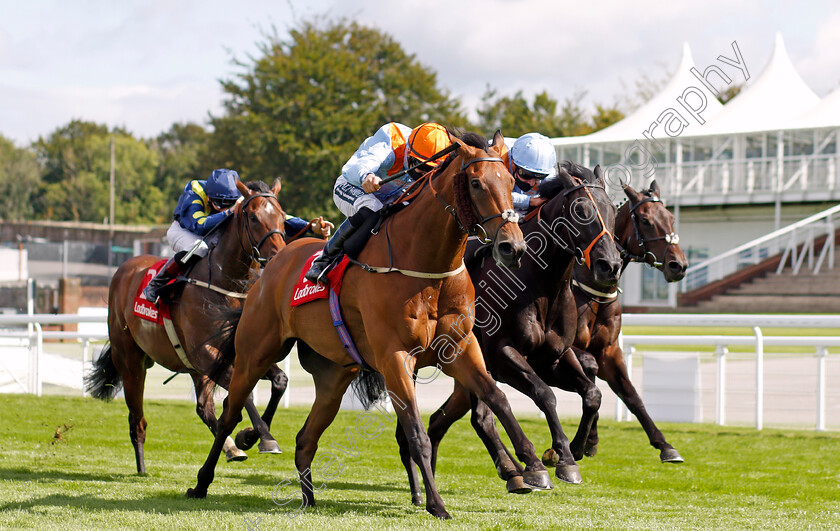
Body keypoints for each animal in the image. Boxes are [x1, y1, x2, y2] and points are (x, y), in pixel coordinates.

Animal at [86, 180, 292, 474]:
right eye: (253, 217)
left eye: (283, 217)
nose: (278, 256)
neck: (227, 286)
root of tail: (125, 268)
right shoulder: (205, 353)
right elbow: (244, 395)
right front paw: (263, 437)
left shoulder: (238, 354)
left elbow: (279, 381)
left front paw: (249, 435)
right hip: (131, 361)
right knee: (137, 418)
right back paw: (142, 467)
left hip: (193, 367)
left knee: (203, 408)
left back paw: (231, 447)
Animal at [185, 131, 552, 520]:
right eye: (476, 182)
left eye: (511, 182)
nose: (512, 247)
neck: (424, 265)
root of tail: (272, 264)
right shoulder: (395, 357)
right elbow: (417, 434)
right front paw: (436, 503)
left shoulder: (460, 349)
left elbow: (498, 398)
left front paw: (534, 466)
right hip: (255, 353)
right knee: (229, 414)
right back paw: (206, 478)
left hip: (333, 376)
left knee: (305, 438)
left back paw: (307, 498)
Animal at [572, 179, 688, 462]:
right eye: (645, 220)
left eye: (670, 218)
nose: (678, 265)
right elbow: (589, 372)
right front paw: (585, 440)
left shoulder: (609, 350)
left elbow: (631, 394)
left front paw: (665, 445)